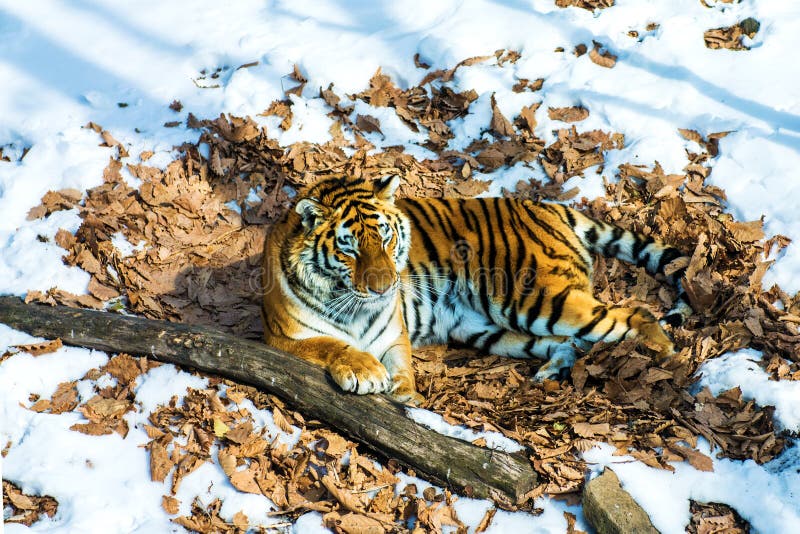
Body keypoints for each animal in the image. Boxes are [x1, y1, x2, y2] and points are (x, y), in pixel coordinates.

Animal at [260, 176, 692, 406]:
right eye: (348, 248)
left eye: (384, 237)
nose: (385, 287)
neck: (350, 304)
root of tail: (546, 206)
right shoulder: (279, 338)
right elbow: (328, 344)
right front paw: (367, 371)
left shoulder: (394, 335)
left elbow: (402, 367)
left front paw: (406, 395)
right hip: (491, 328)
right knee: (571, 342)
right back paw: (551, 371)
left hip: (536, 298)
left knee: (635, 315)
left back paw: (668, 358)